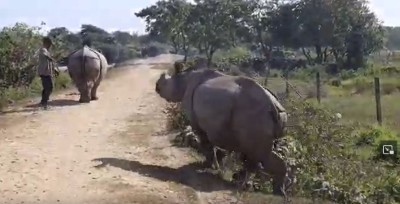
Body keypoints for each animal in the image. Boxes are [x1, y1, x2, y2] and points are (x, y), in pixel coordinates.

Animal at [155, 63, 290, 195]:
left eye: (165, 83)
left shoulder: (197, 123)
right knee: (259, 153)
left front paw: (207, 165)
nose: (156, 86)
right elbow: (215, 146)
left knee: (258, 154)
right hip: (271, 116)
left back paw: (244, 185)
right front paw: (216, 163)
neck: (183, 79)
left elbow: (206, 144)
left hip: (254, 114)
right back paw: (277, 191)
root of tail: (273, 105)